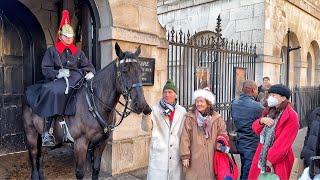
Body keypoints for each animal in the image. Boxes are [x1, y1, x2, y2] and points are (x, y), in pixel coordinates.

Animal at [22, 43, 152, 179]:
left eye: (141, 71)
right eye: (125, 71)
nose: (142, 105)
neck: (96, 104)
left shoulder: (101, 143)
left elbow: (96, 169)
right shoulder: (80, 143)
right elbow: (80, 173)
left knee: (40, 156)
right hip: (31, 132)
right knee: (34, 155)